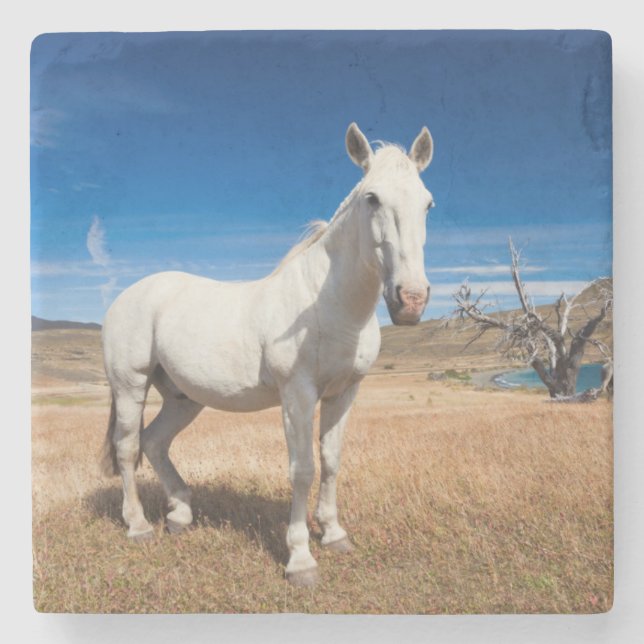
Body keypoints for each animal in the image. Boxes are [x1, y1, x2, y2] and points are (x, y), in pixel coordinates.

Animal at [100, 122, 435, 586]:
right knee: (128, 448)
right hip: (130, 385)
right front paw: (301, 560)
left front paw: (334, 534)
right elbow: (303, 469)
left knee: (155, 442)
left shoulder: (344, 393)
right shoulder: (298, 394)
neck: (327, 304)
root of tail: (127, 296)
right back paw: (138, 526)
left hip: (184, 398)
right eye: (372, 198)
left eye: (427, 203)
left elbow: (331, 460)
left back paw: (180, 515)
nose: (411, 301)